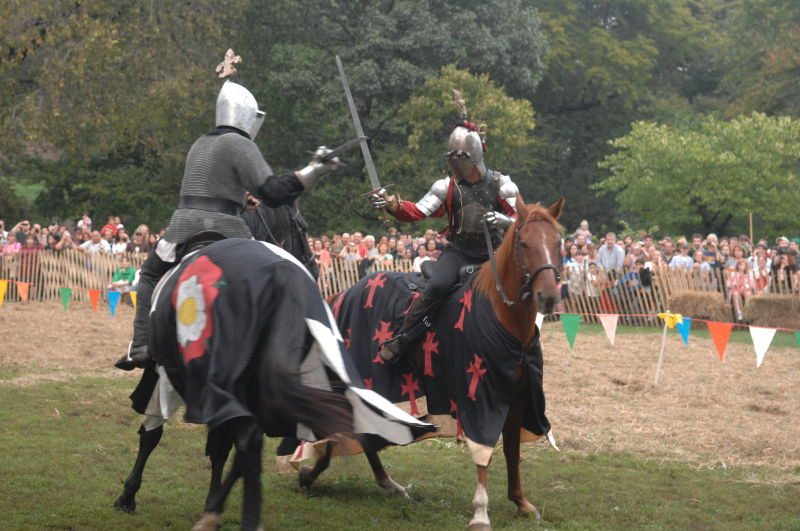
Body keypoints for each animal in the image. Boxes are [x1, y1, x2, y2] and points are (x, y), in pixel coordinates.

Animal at [298, 197, 564, 528]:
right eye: (524, 244)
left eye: (557, 242)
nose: (548, 297)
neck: (503, 314)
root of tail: (345, 293)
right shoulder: (480, 397)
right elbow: (484, 450)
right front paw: (480, 512)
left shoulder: (517, 398)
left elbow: (512, 450)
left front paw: (521, 502)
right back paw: (314, 474)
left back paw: (386, 483)